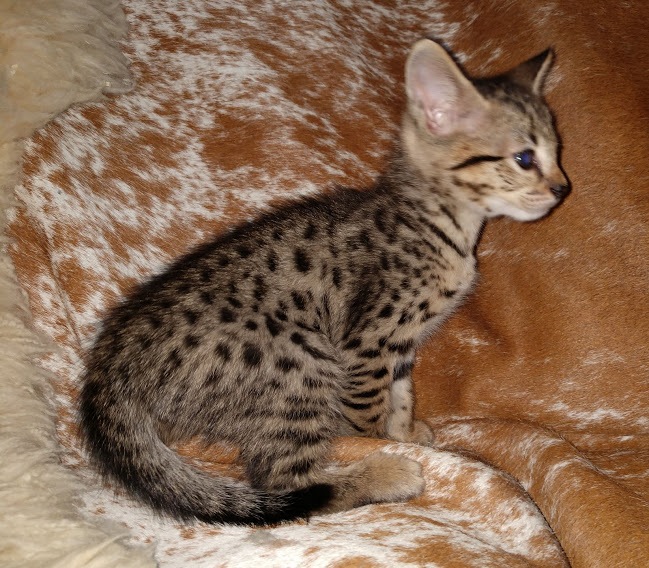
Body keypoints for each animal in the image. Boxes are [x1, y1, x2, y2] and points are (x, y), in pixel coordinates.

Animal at [79, 38, 569, 525]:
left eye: (557, 151)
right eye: (525, 159)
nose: (563, 188)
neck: (443, 223)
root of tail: (111, 364)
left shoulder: (400, 344)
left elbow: (402, 392)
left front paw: (405, 430)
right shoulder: (368, 342)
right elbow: (366, 415)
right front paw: (382, 443)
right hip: (299, 356)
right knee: (284, 482)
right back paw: (384, 475)